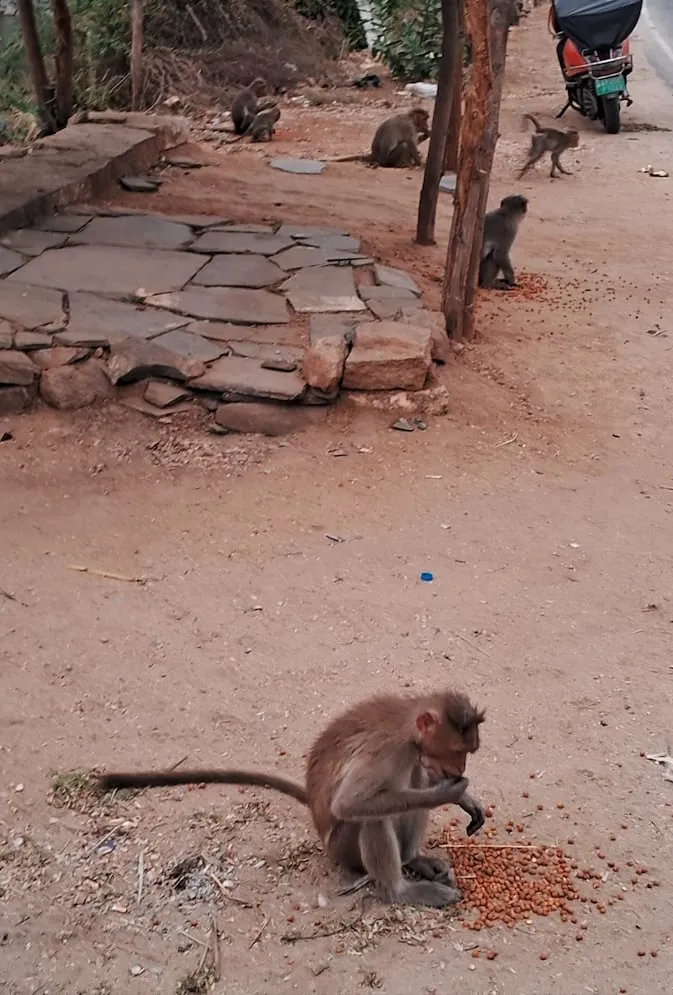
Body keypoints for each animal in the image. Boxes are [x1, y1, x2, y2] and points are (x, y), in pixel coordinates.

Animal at [98, 689, 486, 908]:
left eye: (467, 752)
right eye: (457, 750)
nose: (459, 768)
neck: (408, 729)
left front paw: (464, 798)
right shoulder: (386, 750)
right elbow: (350, 804)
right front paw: (447, 792)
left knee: (410, 781)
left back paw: (413, 859)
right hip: (342, 848)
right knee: (372, 816)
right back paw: (399, 891)